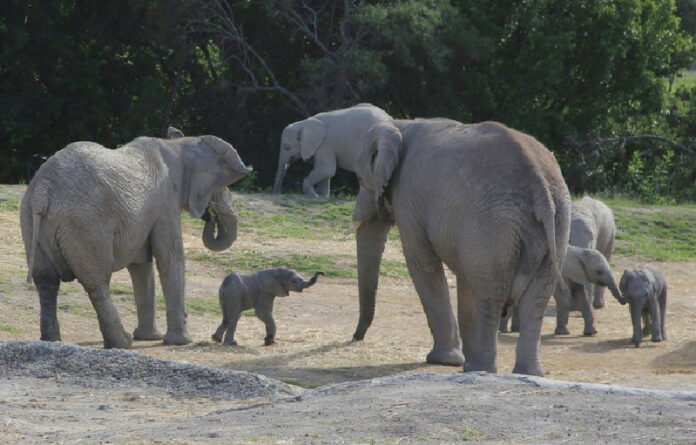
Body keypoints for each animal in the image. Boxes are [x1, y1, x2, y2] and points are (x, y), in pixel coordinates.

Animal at [21, 134, 253, 348]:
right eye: (220, 188)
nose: (210, 214)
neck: (178, 145)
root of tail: (43, 189)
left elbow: (142, 266)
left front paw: (150, 338)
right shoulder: (166, 203)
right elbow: (170, 258)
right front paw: (180, 342)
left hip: (30, 220)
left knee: (46, 280)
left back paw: (52, 341)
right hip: (85, 225)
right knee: (96, 282)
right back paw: (122, 343)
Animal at [348, 119, 572, 374]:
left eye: (361, 178)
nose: (355, 338)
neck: (400, 125)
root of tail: (541, 191)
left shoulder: (409, 199)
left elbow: (422, 264)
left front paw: (444, 361)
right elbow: (465, 279)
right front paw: (459, 360)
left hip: (493, 225)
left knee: (492, 295)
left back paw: (481, 369)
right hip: (557, 223)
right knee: (536, 298)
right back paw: (525, 372)